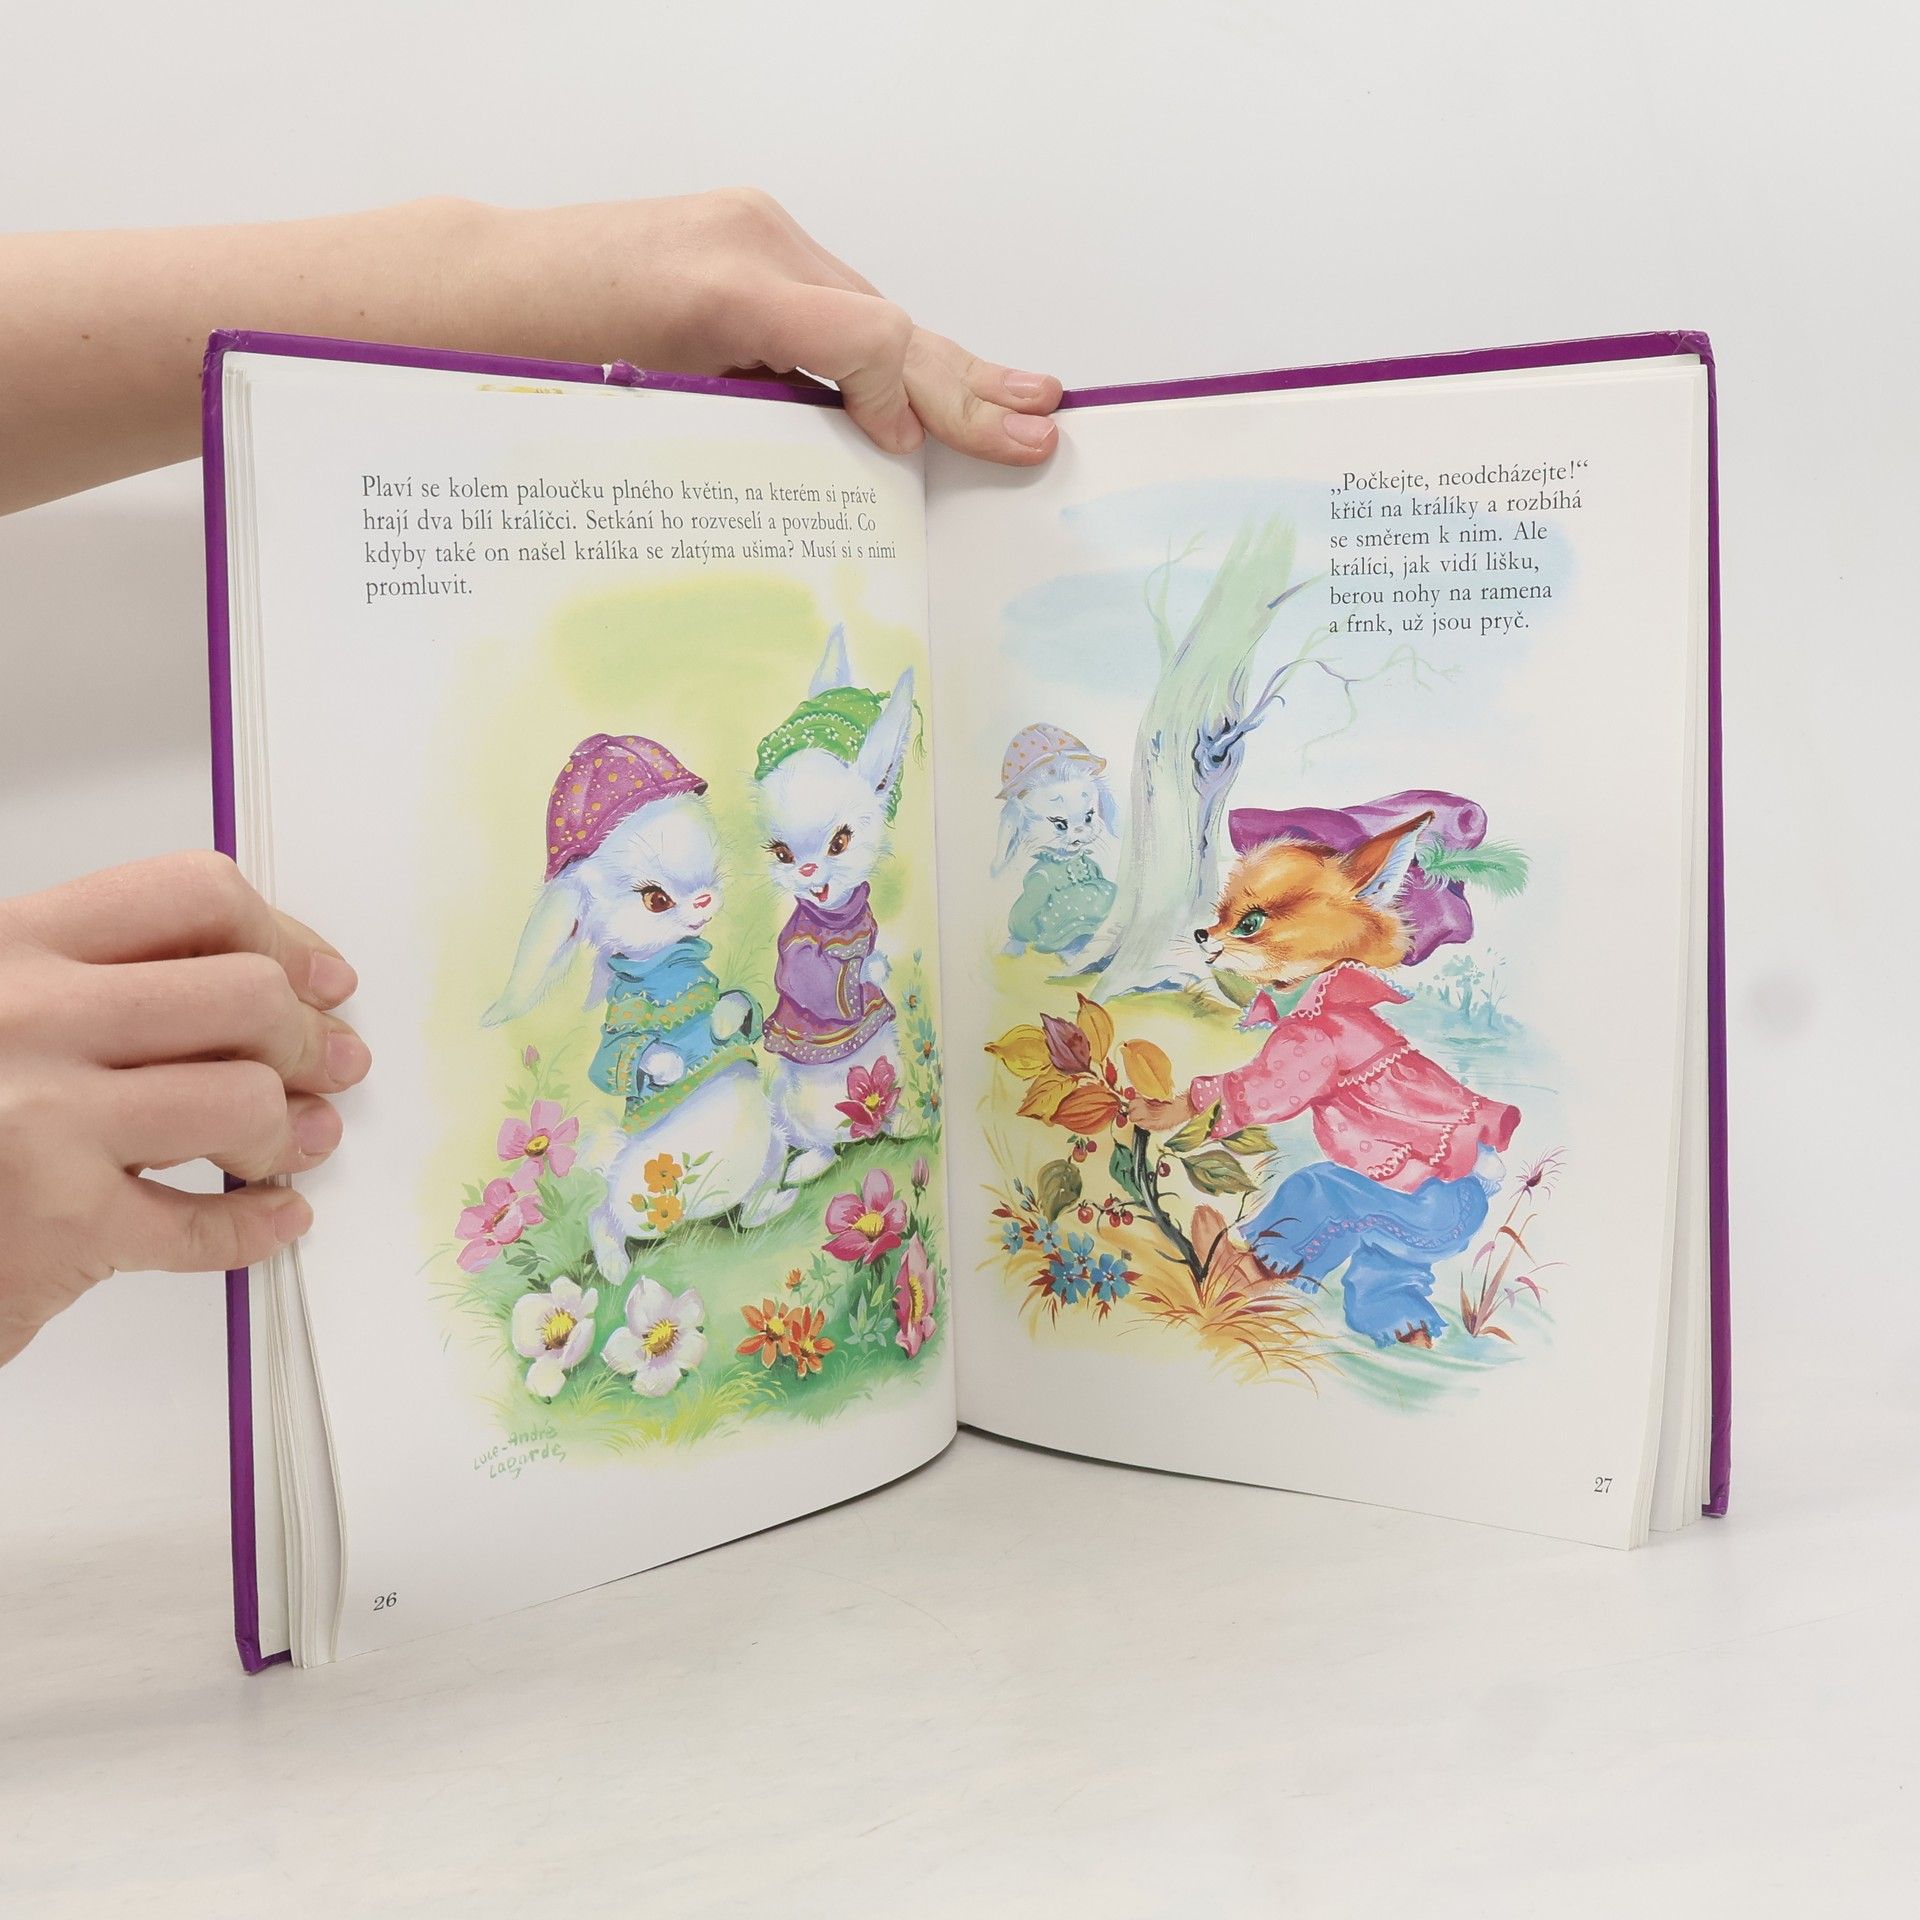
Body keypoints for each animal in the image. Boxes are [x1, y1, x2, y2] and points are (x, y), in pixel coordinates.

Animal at [485, 733, 794, 1283]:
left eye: (710, 874)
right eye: (655, 900)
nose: (705, 902)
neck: (670, 964)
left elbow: (739, 1001)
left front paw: (722, 1021)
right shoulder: (618, 1033)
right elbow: (616, 1061)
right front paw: (668, 1065)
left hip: (770, 1149)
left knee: (753, 1205)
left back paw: (776, 1204)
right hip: (638, 1200)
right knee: (601, 1217)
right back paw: (614, 1271)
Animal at [753, 627, 916, 1184]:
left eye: (840, 842)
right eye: (782, 853)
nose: (807, 874)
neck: (836, 917)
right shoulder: (798, 949)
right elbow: (820, 984)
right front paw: (869, 970)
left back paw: (902, 1125)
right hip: (794, 1107)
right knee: (819, 1145)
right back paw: (807, 1166)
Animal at [992, 723, 1119, 957]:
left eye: (1089, 815)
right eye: (1059, 824)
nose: (1080, 831)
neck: (1067, 861)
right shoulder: (1037, 880)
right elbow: (1024, 912)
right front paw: (1014, 946)